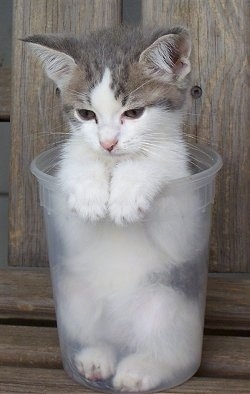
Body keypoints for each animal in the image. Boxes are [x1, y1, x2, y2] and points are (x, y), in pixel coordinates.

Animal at [24, 26, 205, 392]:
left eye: (133, 113)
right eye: (86, 114)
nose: (107, 143)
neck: (113, 164)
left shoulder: (185, 198)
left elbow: (157, 166)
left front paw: (129, 190)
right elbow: (76, 164)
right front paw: (89, 191)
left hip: (166, 301)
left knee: (169, 346)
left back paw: (140, 369)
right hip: (73, 290)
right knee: (95, 329)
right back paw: (96, 356)